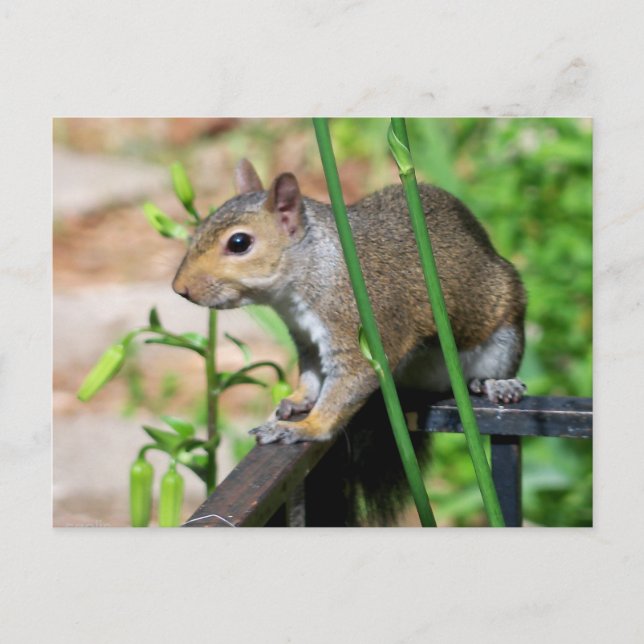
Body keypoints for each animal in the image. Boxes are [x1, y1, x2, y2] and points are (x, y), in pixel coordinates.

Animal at [173, 159, 527, 448]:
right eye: (201, 226)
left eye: (239, 242)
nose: (179, 289)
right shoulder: (306, 338)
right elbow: (312, 375)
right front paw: (298, 399)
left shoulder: (360, 325)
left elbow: (351, 381)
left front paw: (305, 428)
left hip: (504, 331)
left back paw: (499, 385)